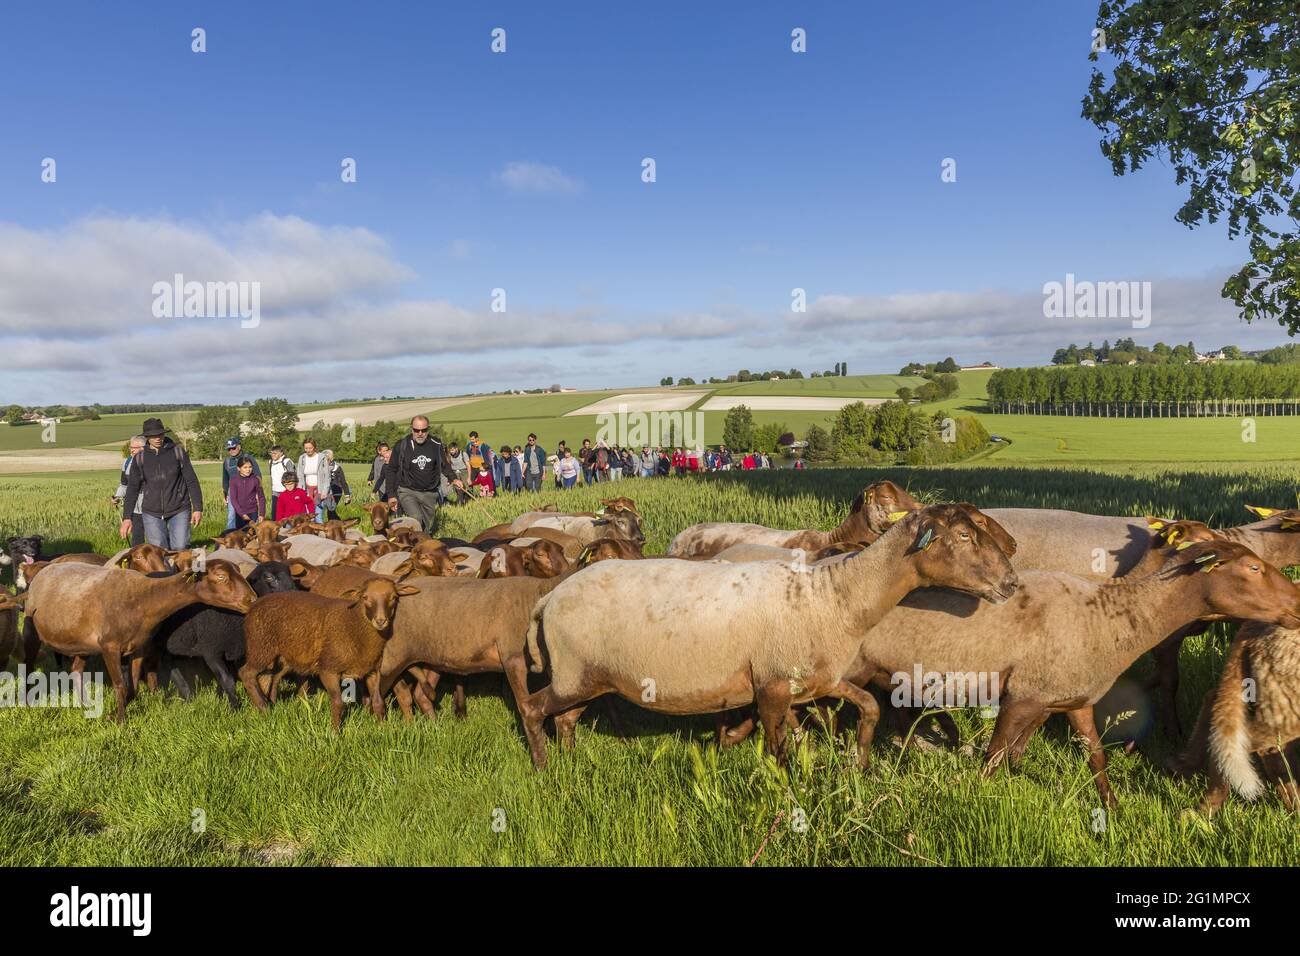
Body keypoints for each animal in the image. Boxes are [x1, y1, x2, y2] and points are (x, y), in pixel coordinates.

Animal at [517, 509, 1013, 770]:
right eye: (964, 534)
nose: (1010, 582)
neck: (835, 595)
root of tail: (550, 598)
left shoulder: (816, 681)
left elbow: (869, 708)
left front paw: (859, 763)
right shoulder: (772, 688)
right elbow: (779, 749)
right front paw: (786, 785)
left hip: (586, 676)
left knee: (565, 719)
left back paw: (571, 765)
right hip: (573, 674)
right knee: (534, 709)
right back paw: (543, 767)